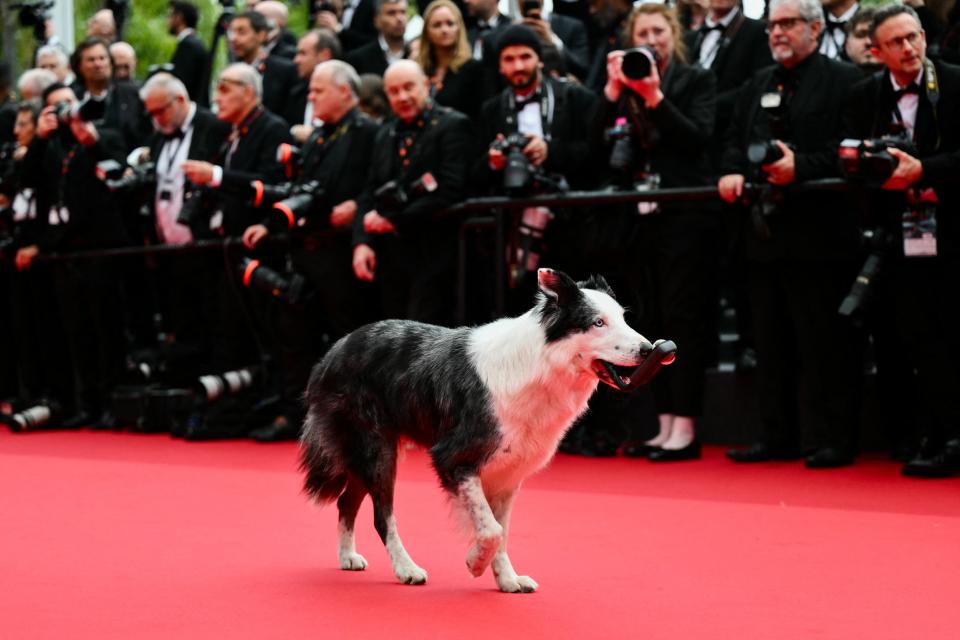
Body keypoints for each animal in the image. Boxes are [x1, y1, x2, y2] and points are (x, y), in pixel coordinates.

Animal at [302, 268, 652, 592]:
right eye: (598, 323)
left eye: (622, 318)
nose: (649, 349)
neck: (540, 364)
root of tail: (335, 349)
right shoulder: (454, 457)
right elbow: (492, 530)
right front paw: (475, 561)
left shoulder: (509, 472)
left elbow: (501, 529)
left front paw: (507, 579)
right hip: (376, 447)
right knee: (381, 515)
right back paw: (406, 569)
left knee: (346, 502)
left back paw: (348, 557)